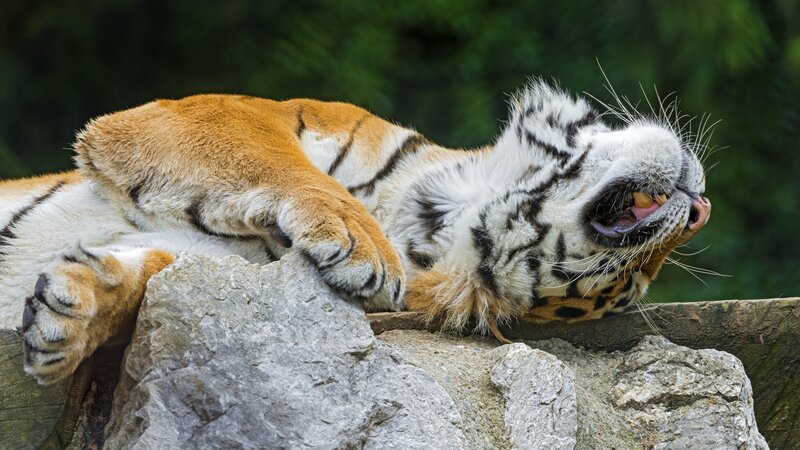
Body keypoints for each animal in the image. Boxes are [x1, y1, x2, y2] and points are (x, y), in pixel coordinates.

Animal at [0, 80, 711, 384]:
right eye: (640, 271)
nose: (701, 209)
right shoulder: (213, 113)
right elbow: (283, 165)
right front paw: (362, 243)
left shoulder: (228, 261)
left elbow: (152, 272)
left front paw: (70, 317)